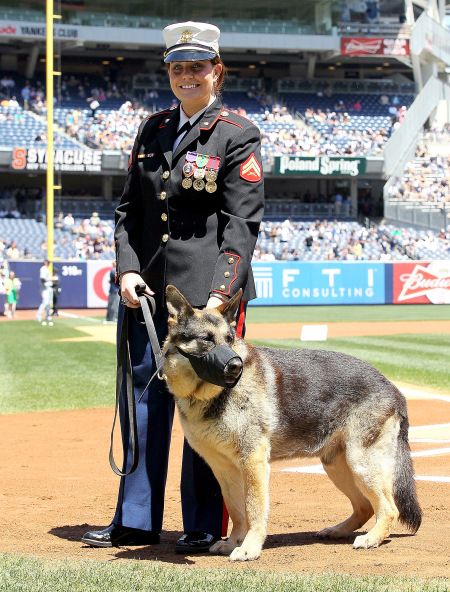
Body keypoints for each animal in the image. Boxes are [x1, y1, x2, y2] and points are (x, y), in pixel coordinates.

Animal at [163, 286, 422, 560]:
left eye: (230, 338)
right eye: (206, 339)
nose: (235, 367)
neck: (209, 395)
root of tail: (393, 387)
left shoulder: (253, 463)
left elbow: (254, 509)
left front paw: (249, 548)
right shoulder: (224, 469)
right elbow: (236, 510)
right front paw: (234, 542)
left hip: (361, 462)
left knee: (389, 508)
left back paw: (372, 538)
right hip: (338, 465)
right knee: (364, 507)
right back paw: (338, 531)